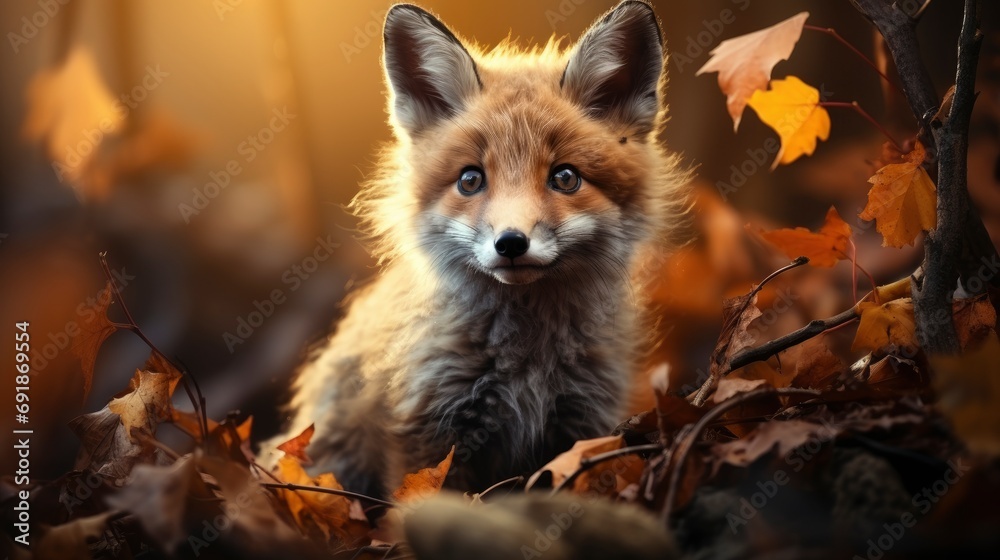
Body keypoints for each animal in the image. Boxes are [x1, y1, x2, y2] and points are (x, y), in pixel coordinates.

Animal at [266, 0, 689, 498]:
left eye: (565, 178)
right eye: (470, 180)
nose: (511, 243)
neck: (527, 360)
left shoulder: (583, 422)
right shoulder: (425, 432)